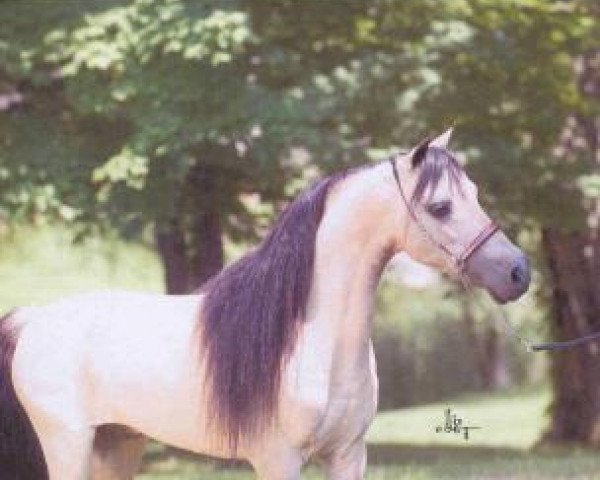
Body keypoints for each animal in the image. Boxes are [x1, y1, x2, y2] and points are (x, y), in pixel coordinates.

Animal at [0, 128, 528, 480]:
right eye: (440, 207)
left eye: (475, 194)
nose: (519, 273)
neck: (309, 338)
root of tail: (34, 320)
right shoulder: (279, 459)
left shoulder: (349, 455)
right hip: (69, 444)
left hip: (117, 445)